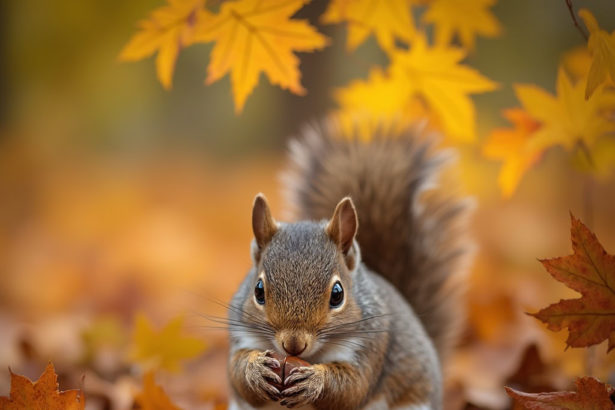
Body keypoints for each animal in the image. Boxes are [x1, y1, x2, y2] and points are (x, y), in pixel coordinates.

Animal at [226, 123, 472, 410]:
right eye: (258, 291)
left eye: (337, 294)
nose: (293, 345)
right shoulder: (241, 334)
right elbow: (237, 374)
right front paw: (255, 369)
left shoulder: (371, 345)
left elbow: (352, 388)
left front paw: (315, 381)